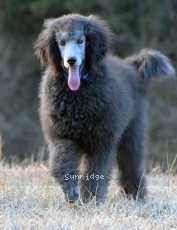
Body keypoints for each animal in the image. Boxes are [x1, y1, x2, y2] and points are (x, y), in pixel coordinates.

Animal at [34, 13, 175, 203]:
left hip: (132, 133)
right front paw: (71, 192)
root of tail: (134, 69)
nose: (71, 61)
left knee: (131, 165)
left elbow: (96, 171)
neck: (78, 93)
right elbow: (63, 163)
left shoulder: (100, 139)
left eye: (81, 40)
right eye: (61, 42)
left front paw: (91, 199)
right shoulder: (62, 135)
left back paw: (136, 196)